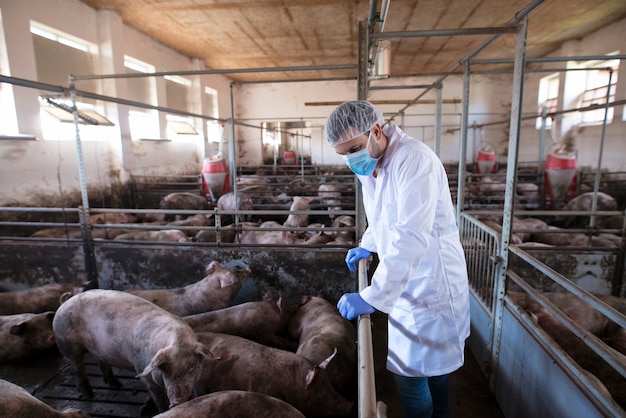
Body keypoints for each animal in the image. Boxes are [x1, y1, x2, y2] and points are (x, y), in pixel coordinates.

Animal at [52, 290, 211, 414]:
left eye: (191, 369)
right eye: (165, 370)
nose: (176, 401)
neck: (177, 340)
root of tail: (65, 302)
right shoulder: (142, 369)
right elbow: (158, 397)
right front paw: (163, 410)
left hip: (97, 349)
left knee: (101, 362)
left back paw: (116, 385)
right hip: (67, 344)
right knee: (78, 369)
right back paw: (89, 395)